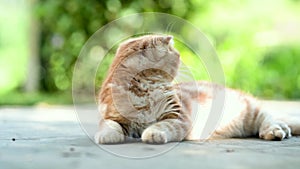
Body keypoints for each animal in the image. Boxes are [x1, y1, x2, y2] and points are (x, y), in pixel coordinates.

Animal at [94, 34, 300, 144]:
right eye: (176, 54)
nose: (180, 56)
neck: (142, 93)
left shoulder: (177, 117)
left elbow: (162, 125)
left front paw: (153, 133)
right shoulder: (113, 117)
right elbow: (109, 125)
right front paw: (106, 135)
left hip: (252, 112)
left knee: (269, 118)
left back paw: (275, 131)